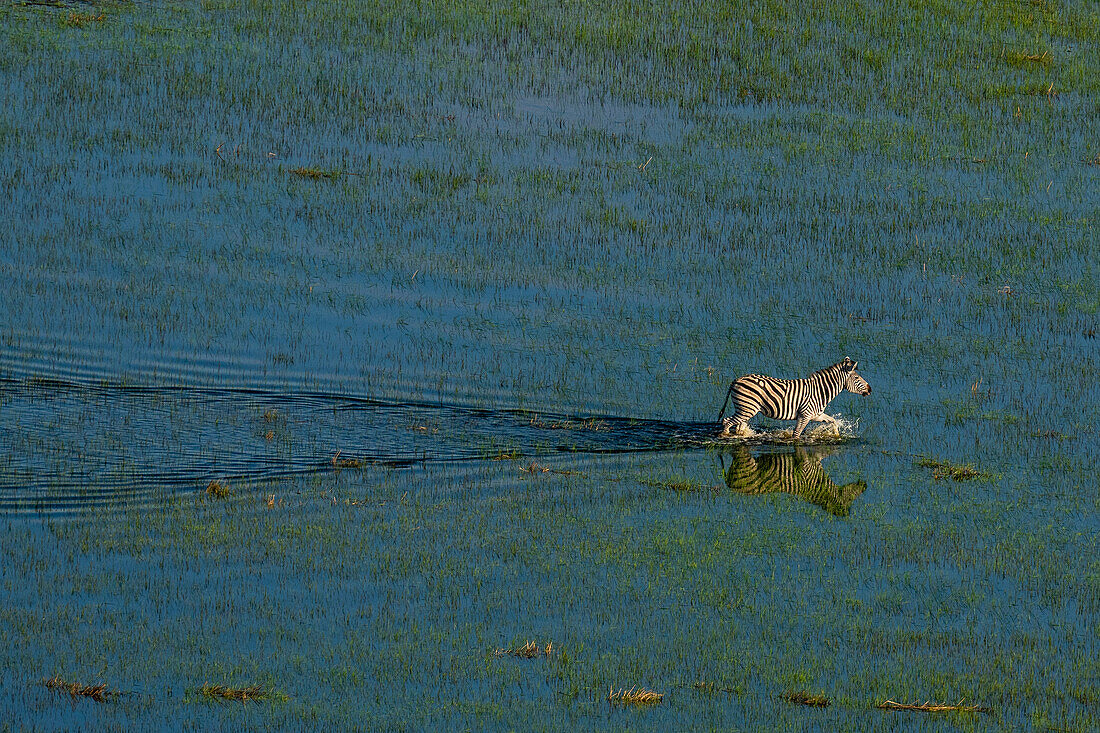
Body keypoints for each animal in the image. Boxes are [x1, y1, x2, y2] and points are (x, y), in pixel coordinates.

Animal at [717, 356, 871, 435]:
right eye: (857, 378)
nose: (870, 389)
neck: (820, 391)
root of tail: (736, 380)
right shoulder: (805, 415)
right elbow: (796, 435)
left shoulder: (816, 415)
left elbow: (833, 421)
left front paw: (836, 436)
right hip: (746, 408)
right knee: (726, 422)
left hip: (746, 410)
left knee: (738, 426)